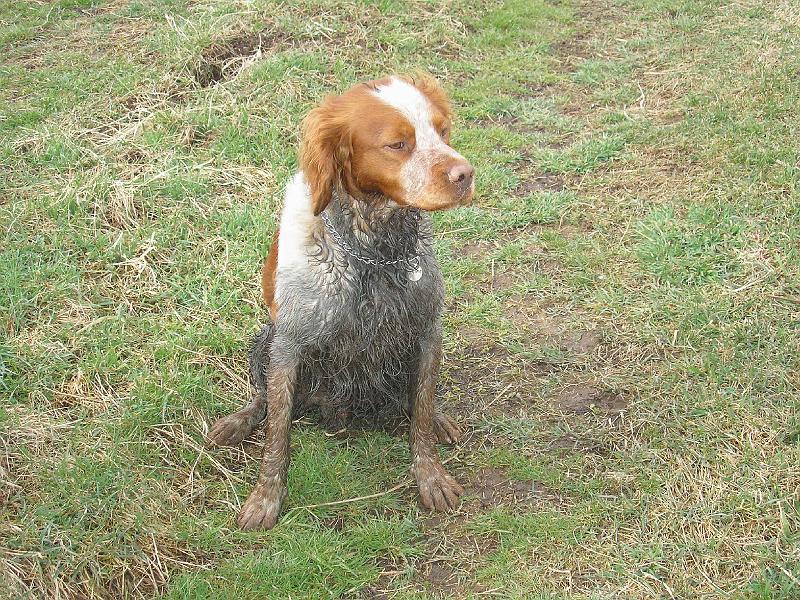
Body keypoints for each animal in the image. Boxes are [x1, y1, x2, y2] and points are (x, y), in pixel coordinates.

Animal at [209, 74, 478, 528]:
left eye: (443, 132)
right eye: (397, 144)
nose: (466, 174)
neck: (375, 251)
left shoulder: (427, 329)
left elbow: (422, 412)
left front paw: (431, 475)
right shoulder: (289, 345)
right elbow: (277, 435)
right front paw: (266, 498)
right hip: (264, 339)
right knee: (262, 398)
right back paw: (238, 422)